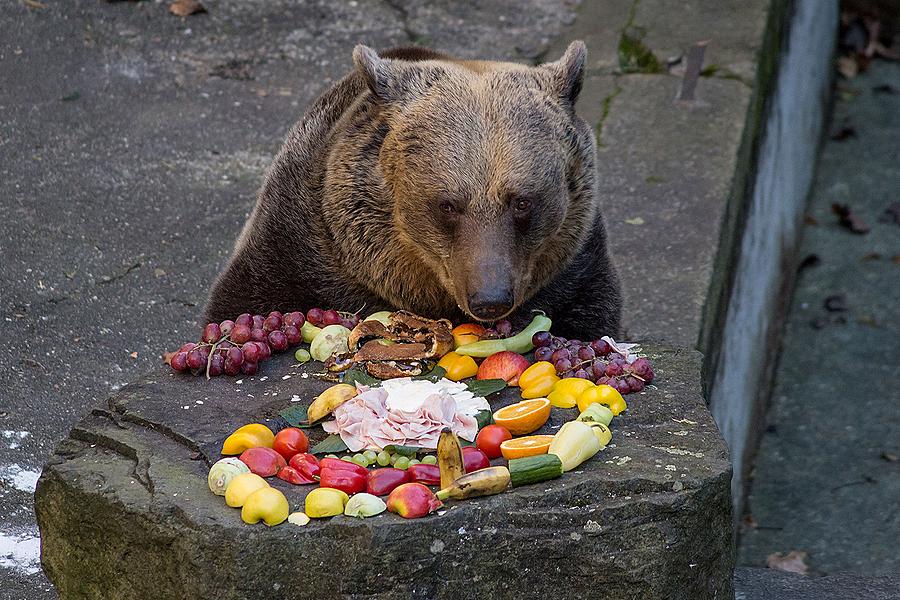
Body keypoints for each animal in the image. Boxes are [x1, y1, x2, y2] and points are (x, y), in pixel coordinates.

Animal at [207, 41, 624, 342]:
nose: (489, 299)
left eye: (522, 202)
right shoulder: (300, 245)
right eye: (448, 205)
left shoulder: (578, 270)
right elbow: (245, 300)